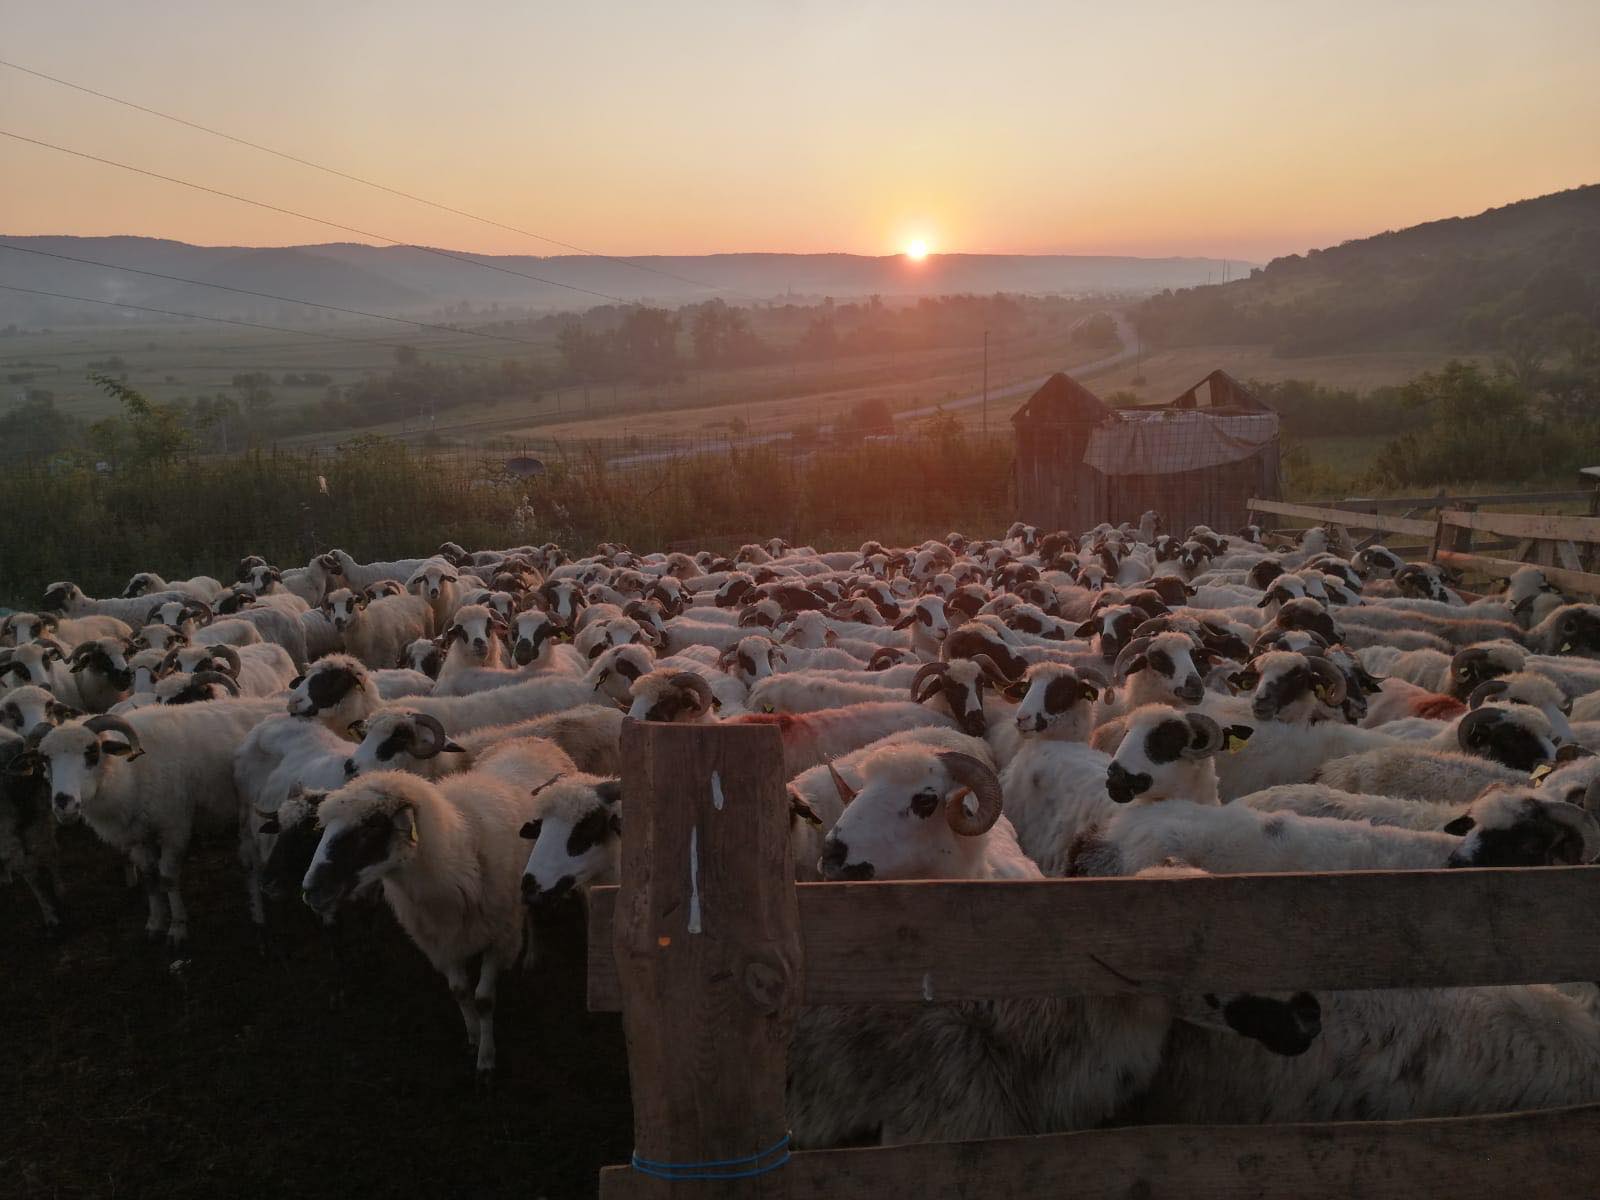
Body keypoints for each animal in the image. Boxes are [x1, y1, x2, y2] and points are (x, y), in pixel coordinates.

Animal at [300, 742, 576, 1081]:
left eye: (372, 826)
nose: (310, 890)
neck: (461, 850)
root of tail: (533, 739)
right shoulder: (441, 943)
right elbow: (460, 991)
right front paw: (473, 1038)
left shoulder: (498, 938)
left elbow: (484, 1000)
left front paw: (486, 1060)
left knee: (533, 915)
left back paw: (532, 954)